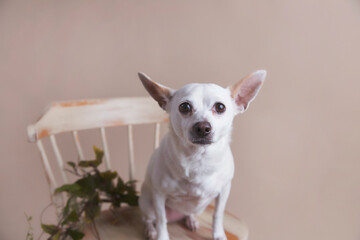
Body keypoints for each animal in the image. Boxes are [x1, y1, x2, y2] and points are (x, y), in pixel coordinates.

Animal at [138, 70, 268, 240]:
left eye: (220, 107)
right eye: (184, 107)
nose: (202, 127)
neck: (198, 159)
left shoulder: (224, 191)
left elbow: (218, 214)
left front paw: (218, 235)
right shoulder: (159, 194)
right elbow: (161, 220)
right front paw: (162, 236)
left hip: (198, 208)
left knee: (189, 213)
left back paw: (191, 220)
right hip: (147, 203)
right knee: (150, 219)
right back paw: (151, 231)